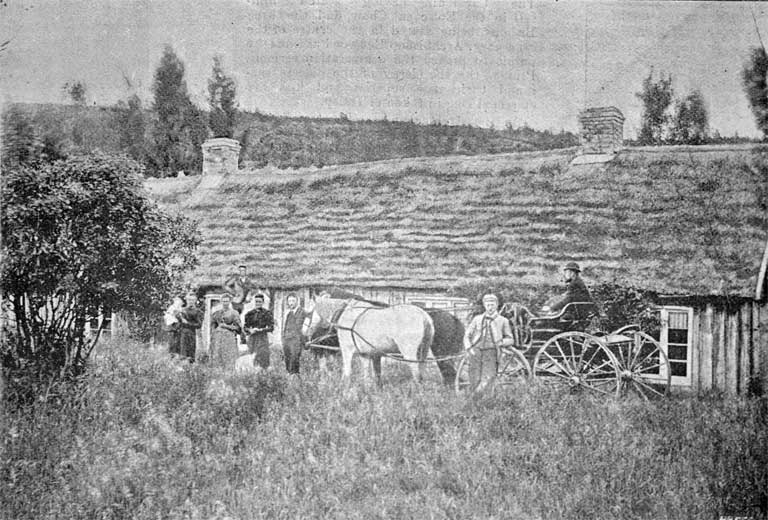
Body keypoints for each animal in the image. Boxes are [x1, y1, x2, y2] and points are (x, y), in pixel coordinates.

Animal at [308, 294, 438, 384]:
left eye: (309, 313)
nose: (307, 332)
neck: (345, 312)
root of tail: (423, 315)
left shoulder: (346, 350)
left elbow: (347, 372)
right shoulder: (364, 353)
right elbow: (368, 373)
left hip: (409, 353)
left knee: (416, 374)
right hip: (424, 349)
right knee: (421, 371)